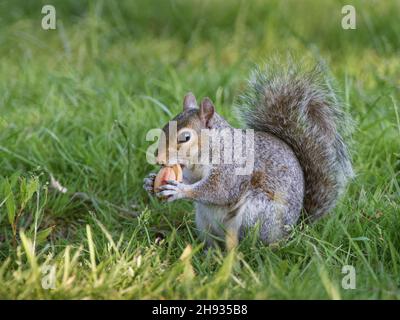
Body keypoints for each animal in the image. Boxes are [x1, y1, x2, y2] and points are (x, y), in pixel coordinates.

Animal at [143, 60, 354, 250]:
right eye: (165, 126)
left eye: (185, 138)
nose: (158, 159)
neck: (211, 149)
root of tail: (292, 230)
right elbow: (193, 180)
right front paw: (150, 181)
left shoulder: (231, 170)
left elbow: (217, 190)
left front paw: (178, 190)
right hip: (204, 221)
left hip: (255, 215)